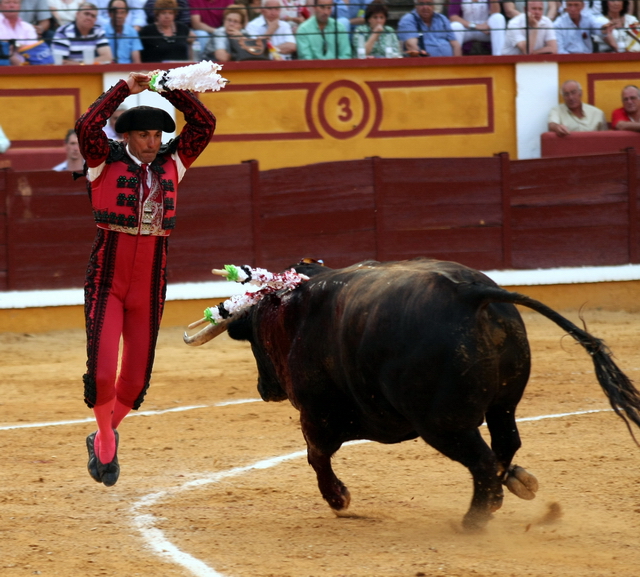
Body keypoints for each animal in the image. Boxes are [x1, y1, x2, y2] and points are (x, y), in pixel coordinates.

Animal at [185, 258, 640, 528]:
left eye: (252, 337)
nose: (264, 389)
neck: (294, 310)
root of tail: (471, 293)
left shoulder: (316, 415)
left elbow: (316, 456)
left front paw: (339, 498)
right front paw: (522, 481)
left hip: (443, 425)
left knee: (481, 461)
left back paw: (473, 520)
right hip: (503, 404)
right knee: (505, 443)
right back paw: (505, 490)